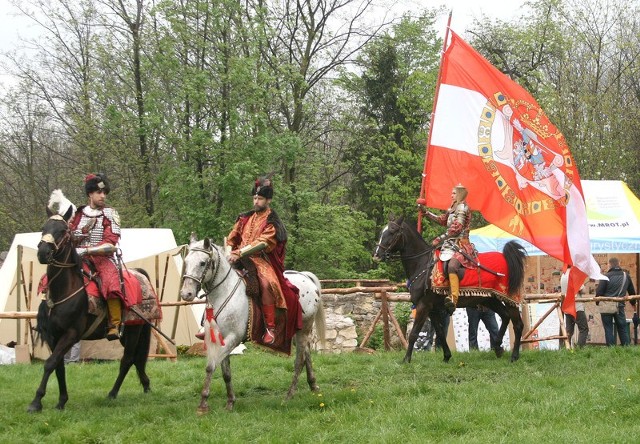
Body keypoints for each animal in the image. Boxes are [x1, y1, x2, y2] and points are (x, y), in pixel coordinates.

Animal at [30, 206, 155, 412]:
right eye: (44, 228)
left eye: (63, 231)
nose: (43, 253)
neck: (64, 290)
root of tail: (139, 273)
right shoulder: (52, 336)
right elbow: (58, 366)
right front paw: (61, 401)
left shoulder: (71, 334)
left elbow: (49, 364)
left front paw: (36, 401)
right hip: (128, 333)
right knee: (137, 359)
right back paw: (146, 386)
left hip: (134, 329)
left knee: (128, 359)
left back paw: (113, 393)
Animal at [179, 236, 324, 412]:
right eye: (186, 261)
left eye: (202, 262)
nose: (186, 293)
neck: (224, 292)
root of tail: (305, 277)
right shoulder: (222, 338)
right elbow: (225, 372)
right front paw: (230, 401)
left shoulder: (233, 338)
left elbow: (211, 365)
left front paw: (203, 403)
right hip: (297, 331)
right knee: (307, 354)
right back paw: (313, 386)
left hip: (304, 329)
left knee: (299, 361)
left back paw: (289, 395)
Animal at [372, 216, 528, 364]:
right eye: (381, 232)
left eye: (392, 231)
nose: (376, 255)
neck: (422, 264)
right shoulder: (432, 309)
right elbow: (440, 333)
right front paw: (446, 356)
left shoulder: (423, 305)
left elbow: (414, 333)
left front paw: (406, 359)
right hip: (490, 299)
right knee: (505, 316)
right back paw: (497, 347)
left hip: (509, 299)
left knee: (518, 325)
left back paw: (514, 356)